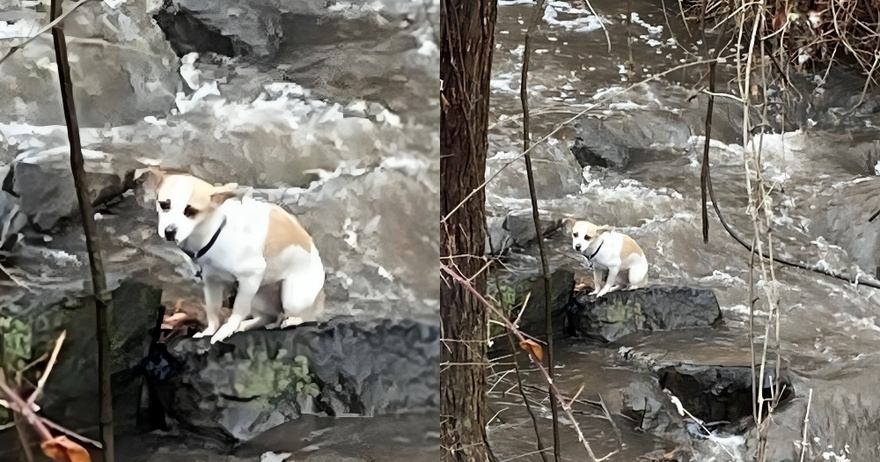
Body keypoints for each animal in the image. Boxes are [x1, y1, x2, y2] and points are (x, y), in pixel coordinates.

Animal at [138, 169, 326, 342]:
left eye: (190, 211)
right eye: (164, 205)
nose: (169, 231)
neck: (214, 232)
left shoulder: (250, 277)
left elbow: (237, 311)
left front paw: (224, 331)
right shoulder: (211, 281)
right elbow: (212, 310)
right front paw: (210, 331)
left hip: (291, 299)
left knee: (303, 318)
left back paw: (289, 322)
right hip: (259, 295)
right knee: (268, 316)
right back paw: (247, 326)